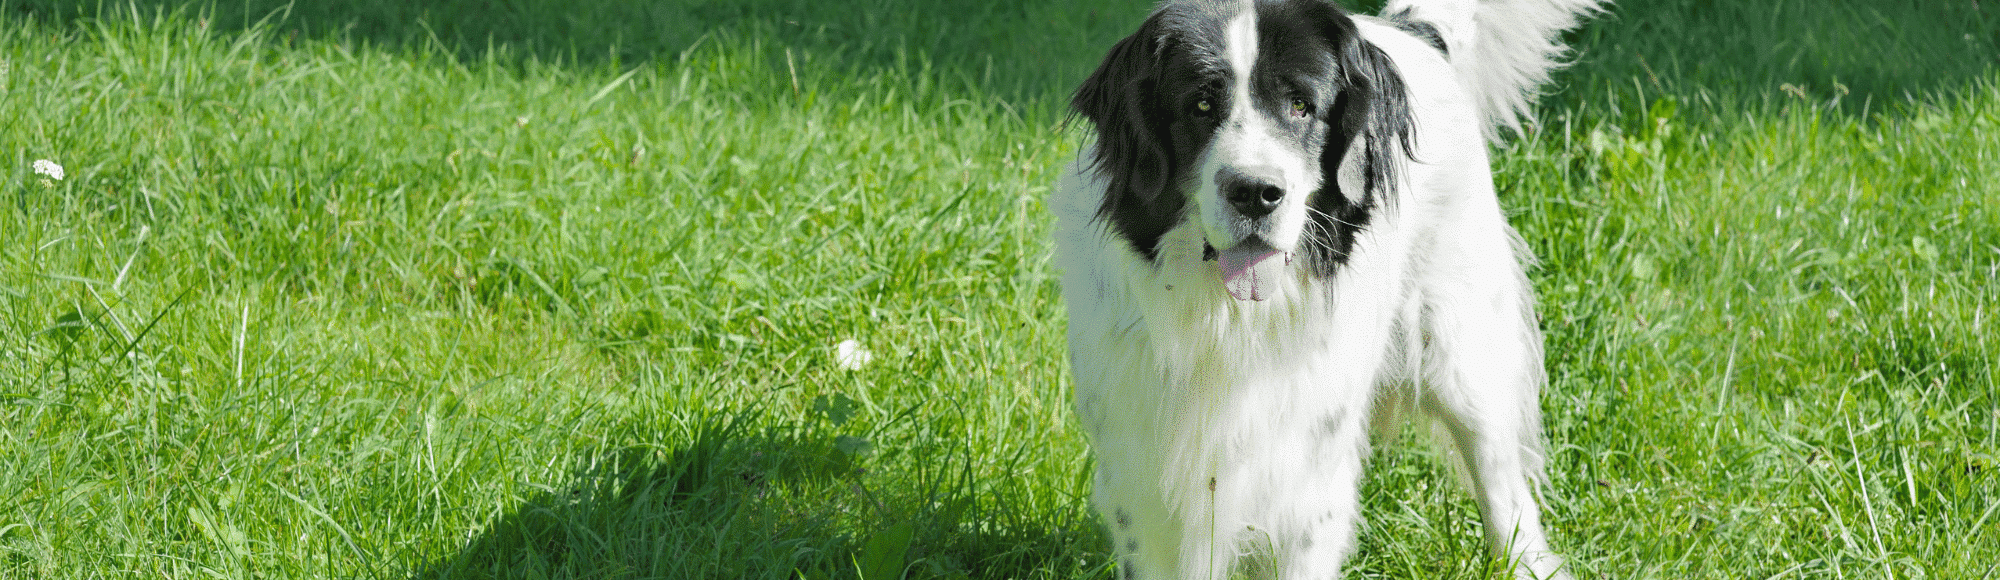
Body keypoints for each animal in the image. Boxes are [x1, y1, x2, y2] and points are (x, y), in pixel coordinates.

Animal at [1056, 1, 1600, 580]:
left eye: (1301, 106)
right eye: (1200, 104)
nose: (1256, 192)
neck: (1231, 321)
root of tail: (1414, 32)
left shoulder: (1305, 488)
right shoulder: (1145, 490)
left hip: (1462, 349)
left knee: (1501, 480)